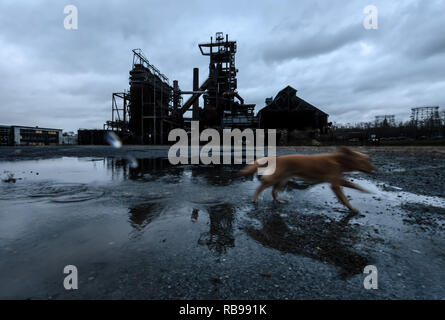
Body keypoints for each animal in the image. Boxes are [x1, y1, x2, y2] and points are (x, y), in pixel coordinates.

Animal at [239, 147, 374, 212]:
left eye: (368, 160)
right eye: (364, 161)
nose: (374, 169)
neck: (339, 160)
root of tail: (278, 158)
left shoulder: (338, 180)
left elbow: (354, 185)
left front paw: (366, 191)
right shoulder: (335, 184)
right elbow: (345, 198)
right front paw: (352, 208)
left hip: (283, 180)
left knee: (273, 191)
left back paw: (279, 200)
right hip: (276, 178)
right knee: (261, 187)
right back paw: (255, 199)